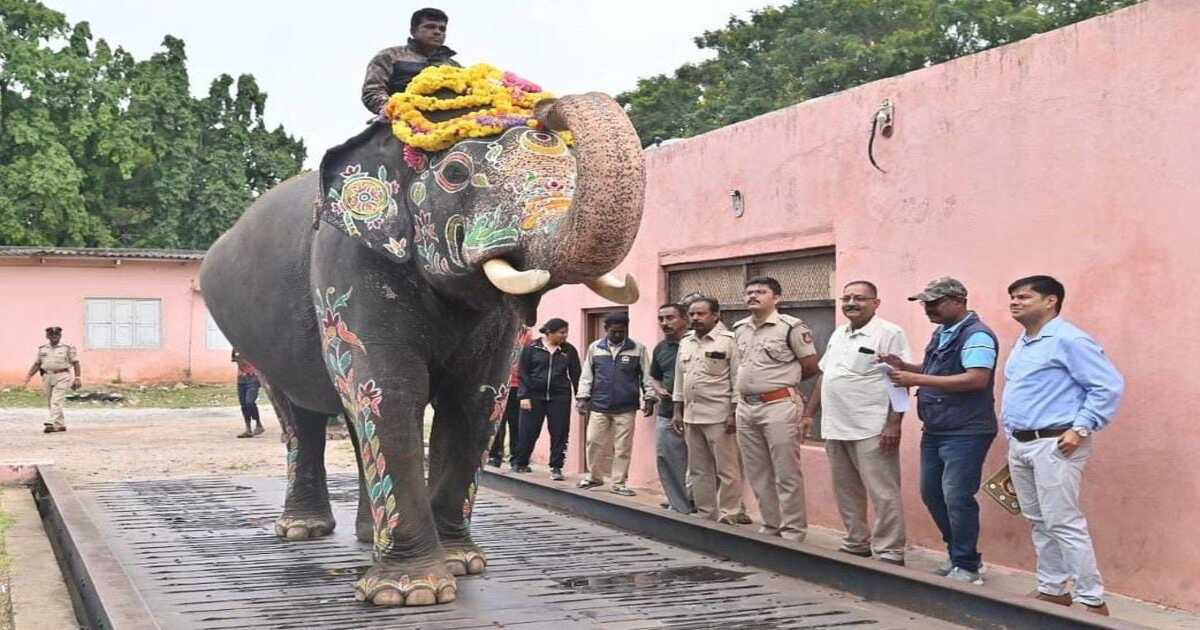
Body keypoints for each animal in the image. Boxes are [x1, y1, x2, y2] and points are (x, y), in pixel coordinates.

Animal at [199, 66, 648, 607]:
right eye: (454, 172)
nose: (546, 107)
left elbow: (478, 400)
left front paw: (462, 564)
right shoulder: (347, 267)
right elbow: (391, 392)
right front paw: (411, 593)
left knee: (356, 419)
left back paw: (366, 537)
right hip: (255, 346)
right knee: (302, 418)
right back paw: (303, 531)